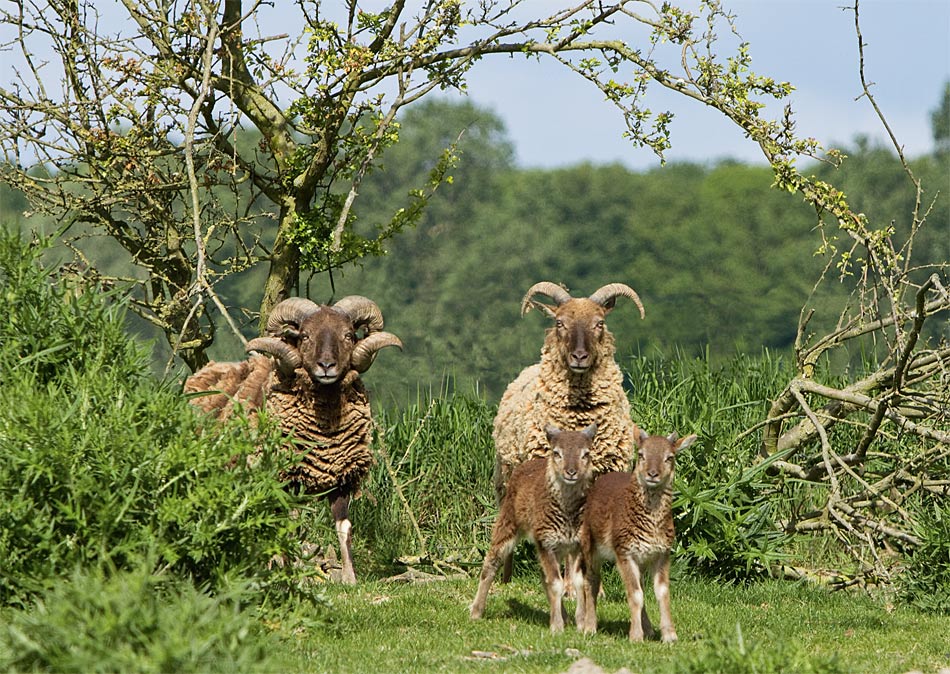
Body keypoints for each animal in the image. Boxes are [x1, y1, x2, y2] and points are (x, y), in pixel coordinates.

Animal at [183, 296, 402, 584]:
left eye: (348, 335)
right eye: (305, 336)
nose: (327, 367)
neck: (326, 435)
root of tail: (203, 372)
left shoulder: (342, 480)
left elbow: (344, 528)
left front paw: (350, 579)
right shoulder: (288, 481)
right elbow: (291, 526)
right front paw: (294, 576)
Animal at [474, 422, 600, 632]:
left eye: (586, 454)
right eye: (557, 453)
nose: (571, 472)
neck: (567, 513)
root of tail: (525, 464)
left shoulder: (577, 545)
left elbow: (577, 582)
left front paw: (581, 623)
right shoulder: (546, 542)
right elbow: (556, 583)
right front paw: (556, 627)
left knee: (544, 575)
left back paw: (565, 616)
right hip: (508, 522)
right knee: (491, 562)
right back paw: (476, 611)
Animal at [490, 280, 648, 580]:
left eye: (599, 323)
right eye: (560, 323)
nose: (579, 356)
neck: (578, 417)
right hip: (506, 476)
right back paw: (506, 577)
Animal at [572, 426, 700, 640]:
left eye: (669, 457)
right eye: (641, 454)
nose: (652, 474)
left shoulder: (662, 554)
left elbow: (661, 593)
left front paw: (669, 635)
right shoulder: (625, 552)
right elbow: (635, 594)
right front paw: (635, 636)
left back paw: (648, 628)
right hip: (589, 545)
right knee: (591, 582)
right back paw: (588, 626)